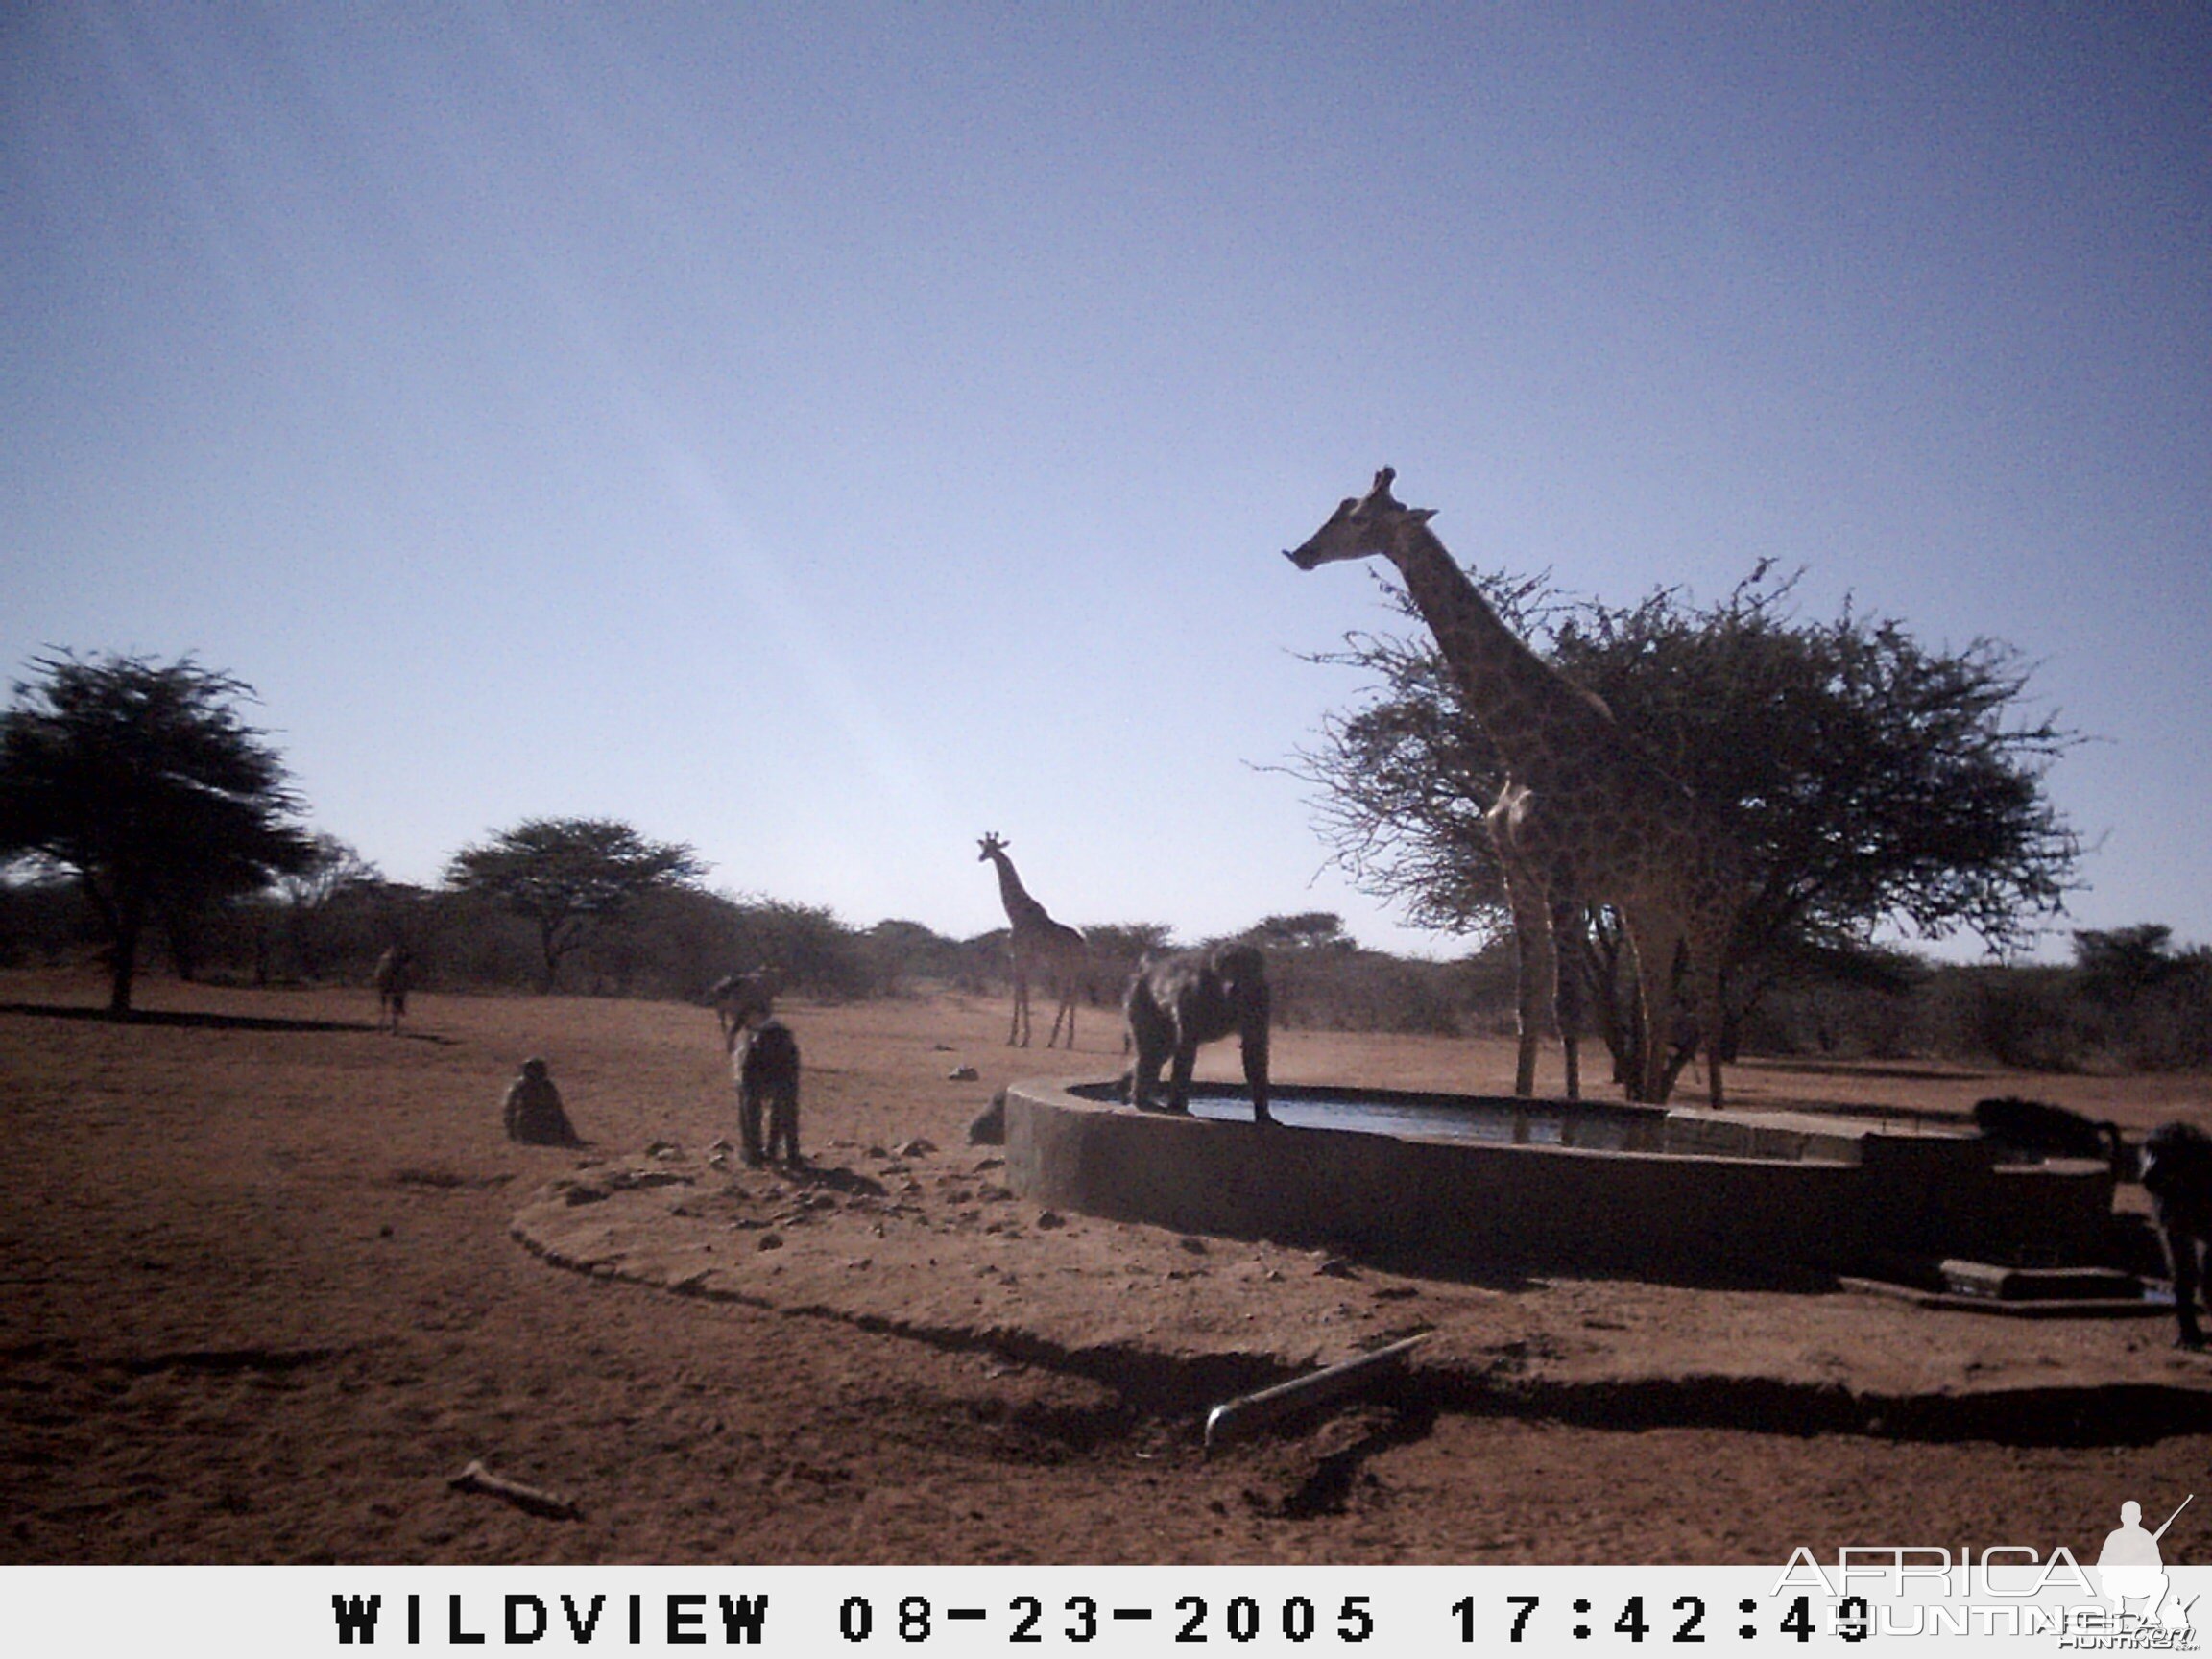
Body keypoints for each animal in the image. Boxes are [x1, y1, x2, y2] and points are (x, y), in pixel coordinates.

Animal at [981, 831, 1093, 1052]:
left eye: (993, 847)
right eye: (984, 846)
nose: (981, 857)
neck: (1015, 914)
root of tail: (1082, 944)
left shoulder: (1020, 957)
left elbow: (1022, 993)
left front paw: (1021, 1038)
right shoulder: (1019, 959)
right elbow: (1020, 993)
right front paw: (1017, 1037)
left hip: (1063, 967)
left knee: (1067, 996)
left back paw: (1056, 1040)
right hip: (1070, 969)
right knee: (1071, 996)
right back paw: (1064, 1041)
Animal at [1283, 470, 1743, 1106]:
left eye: (1359, 519)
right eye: (1340, 509)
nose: (1301, 553)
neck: (1520, 746)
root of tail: (1731, 852)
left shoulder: (1564, 875)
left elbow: (1567, 1009)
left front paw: (1568, 1112)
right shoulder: (1517, 875)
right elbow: (1528, 1008)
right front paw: (1524, 1101)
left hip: (1707, 909)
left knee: (1709, 1014)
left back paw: (1708, 1108)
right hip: (1650, 910)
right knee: (1657, 1015)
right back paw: (1648, 1105)